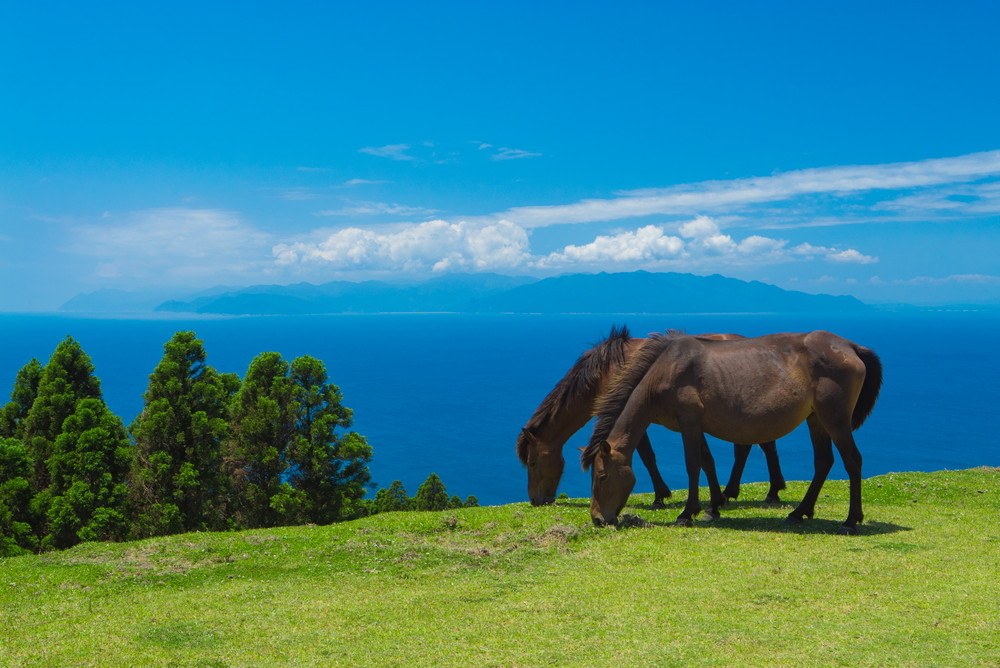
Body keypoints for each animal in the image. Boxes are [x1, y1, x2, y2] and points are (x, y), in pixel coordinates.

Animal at [520, 324, 784, 506]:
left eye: (532, 463)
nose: (535, 500)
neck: (604, 373)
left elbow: (648, 457)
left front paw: (660, 496)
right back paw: (745, 491)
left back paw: (768, 491)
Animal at [584, 332, 880, 536]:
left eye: (602, 475)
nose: (597, 519)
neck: (667, 369)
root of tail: (850, 346)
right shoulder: (695, 425)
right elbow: (707, 461)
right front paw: (713, 506)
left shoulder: (689, 422)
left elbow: (693, 464)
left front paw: (687, 513)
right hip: (816, 419)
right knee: (823, 462)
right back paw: (799, 512)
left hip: (835, 420)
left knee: (853, 461)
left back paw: (851, 521)